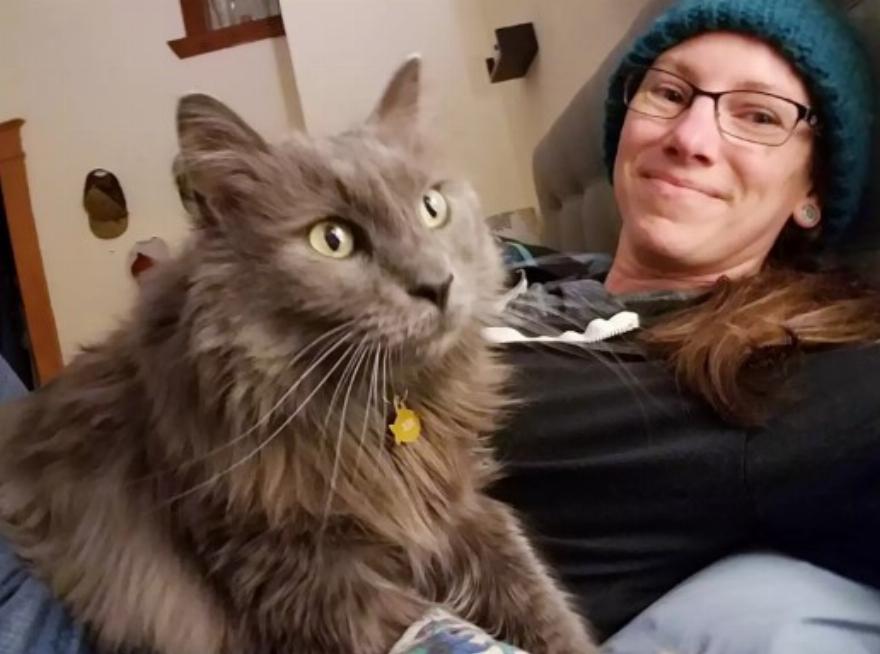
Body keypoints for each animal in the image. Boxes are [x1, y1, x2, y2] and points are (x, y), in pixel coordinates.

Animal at [0, 57, 596, 654]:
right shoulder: (303, 580)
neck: (374, 416)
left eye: (432, 208)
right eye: (331, 240)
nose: (438, 284)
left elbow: (540, 602)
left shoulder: (465, 512)